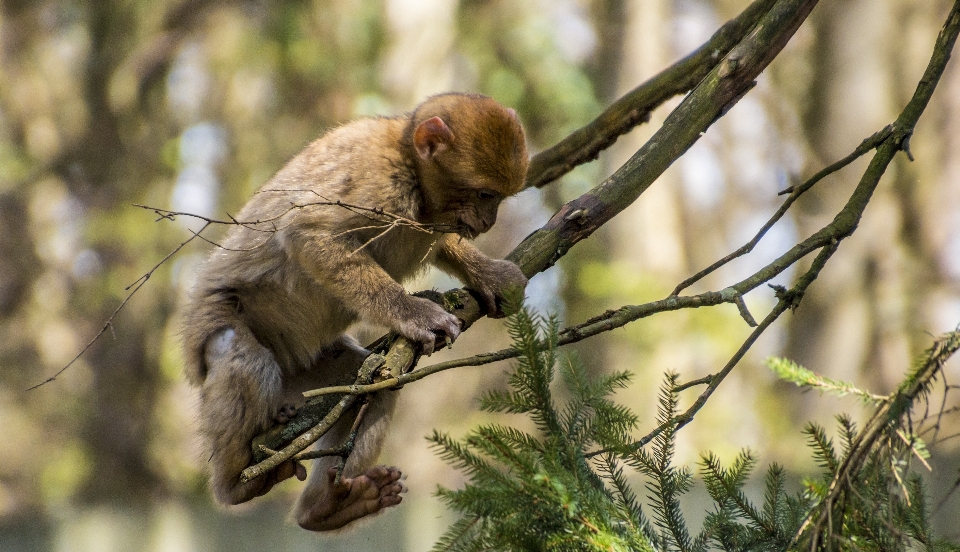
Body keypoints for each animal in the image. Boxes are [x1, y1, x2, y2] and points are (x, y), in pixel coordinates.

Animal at [176, 92, 528, 532]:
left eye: (497, 198)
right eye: (484, 195)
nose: (488, 222)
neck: (410, 166)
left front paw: (488, 274)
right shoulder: (376, 184)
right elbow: (310, 235)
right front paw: (415, 313)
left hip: (308, 373)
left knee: (371, 386)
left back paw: (324, 509)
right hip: (218, 327)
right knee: (239, 352)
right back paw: (235, 484)